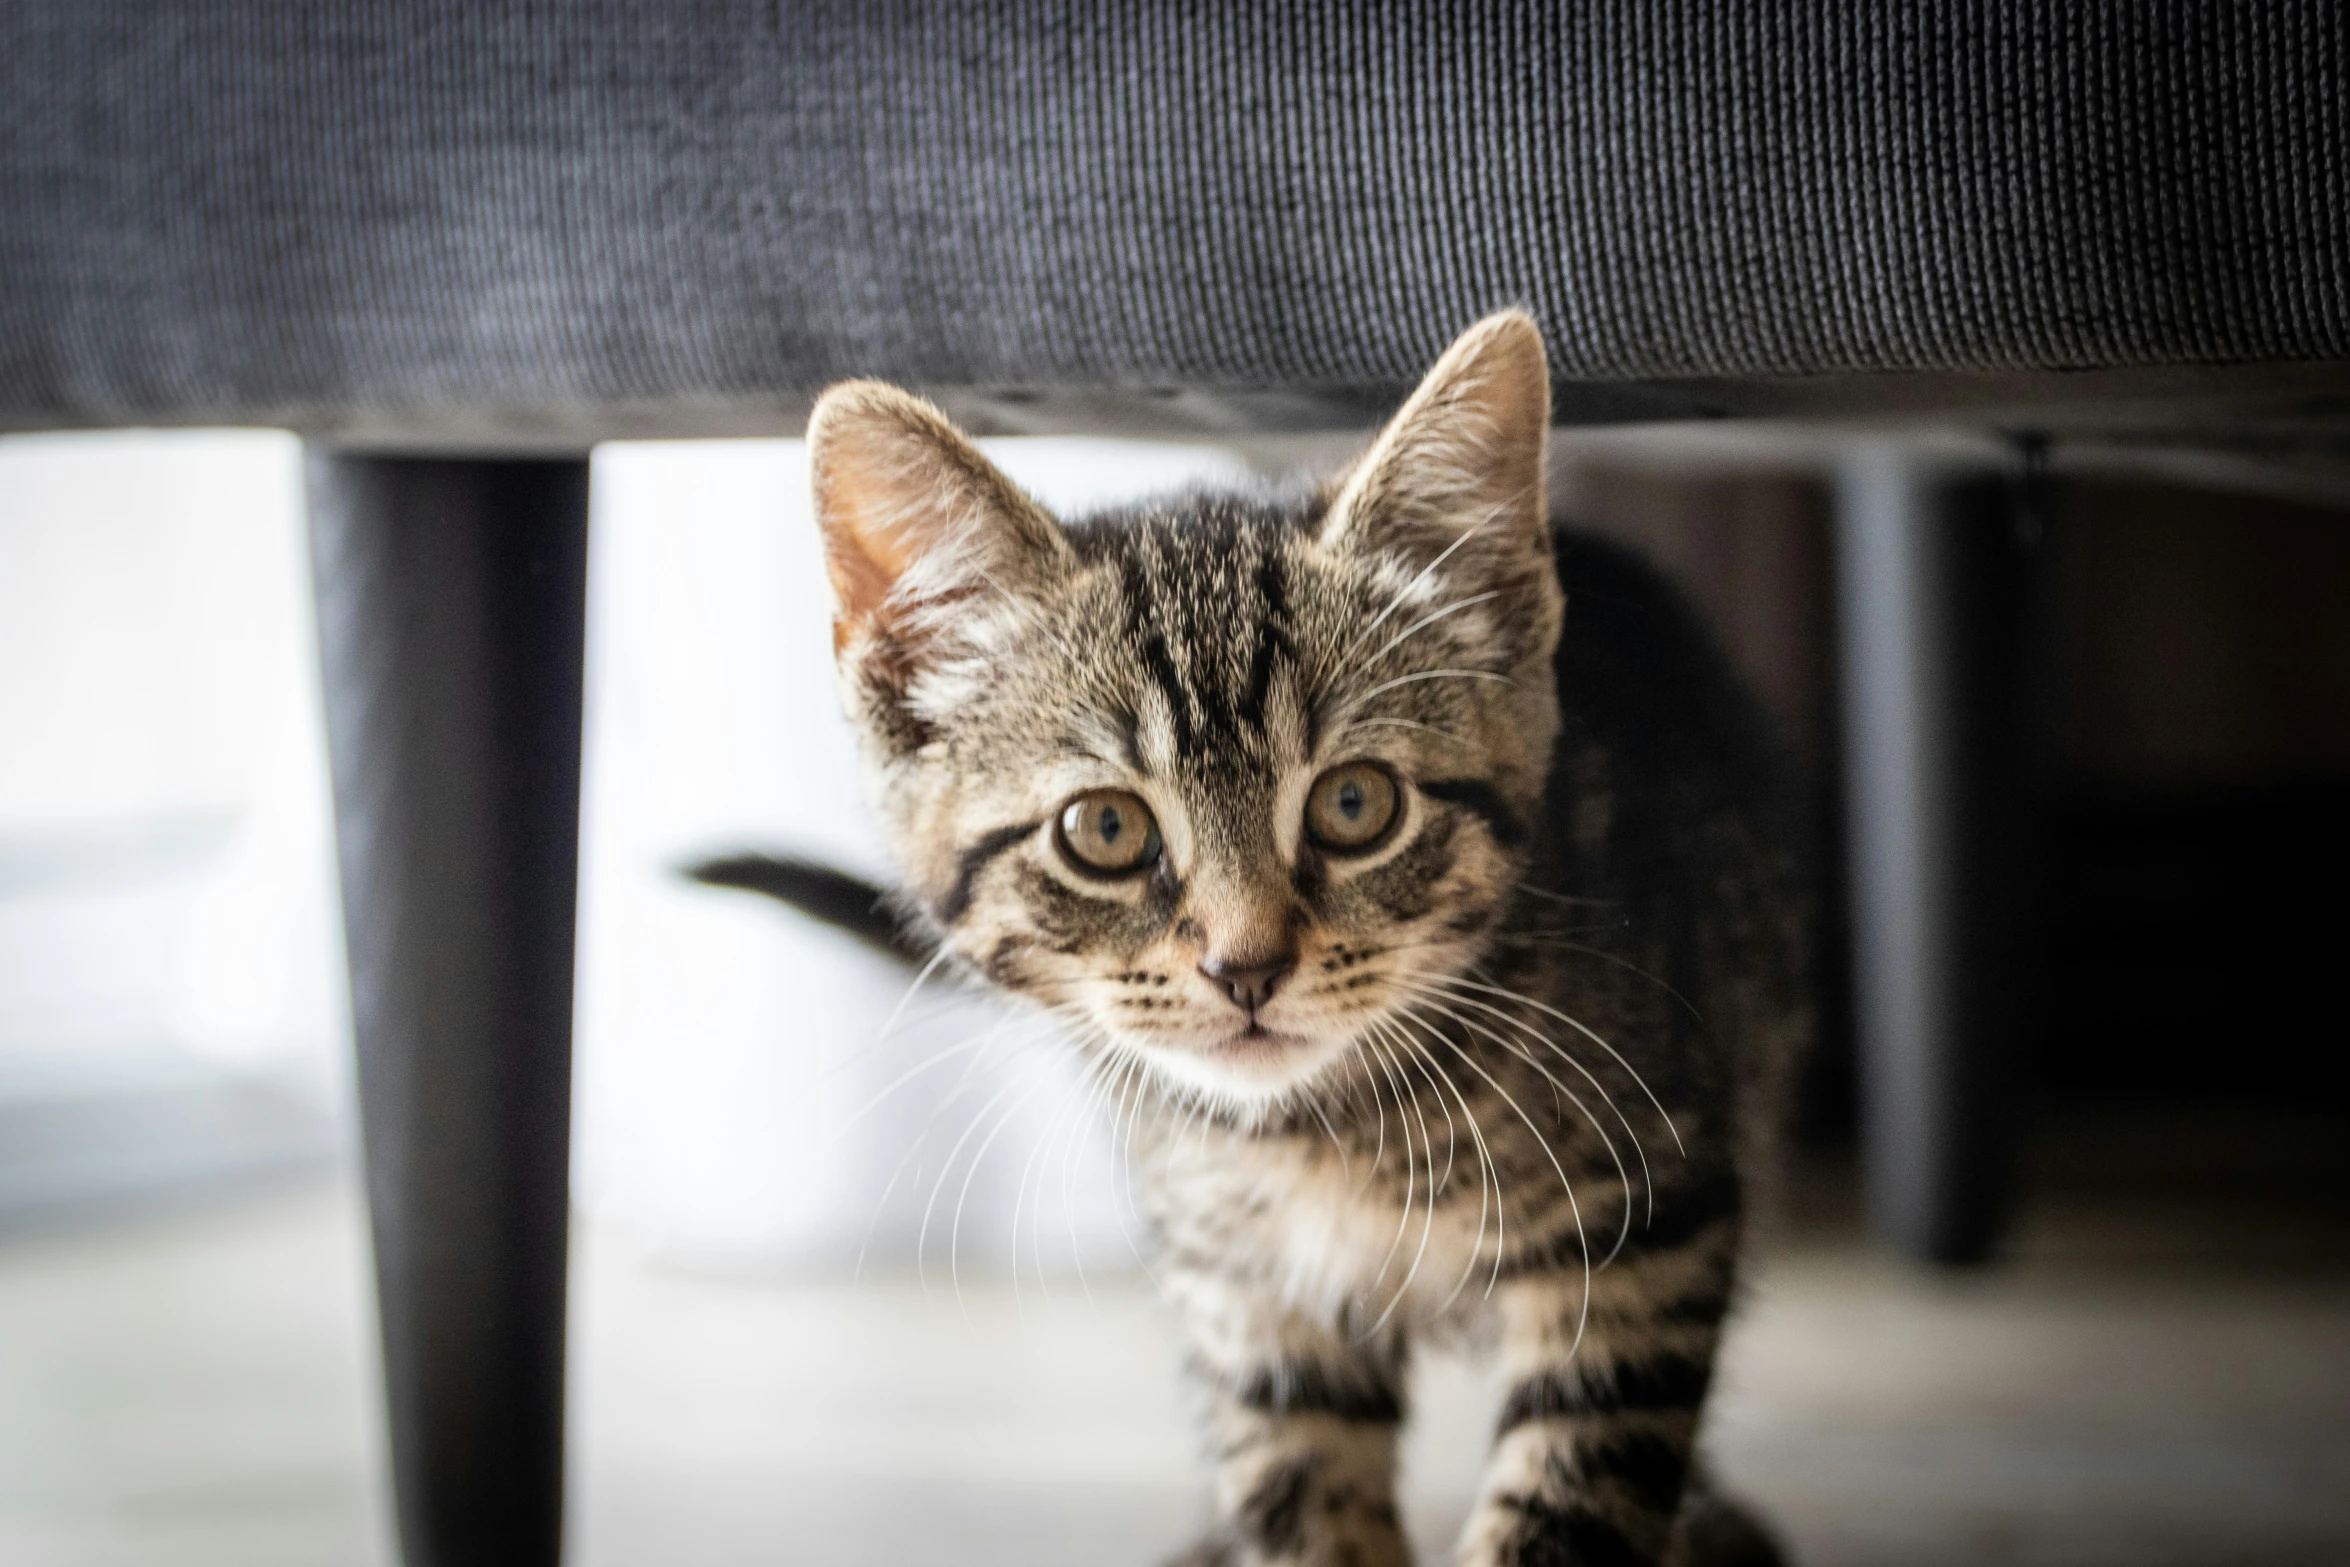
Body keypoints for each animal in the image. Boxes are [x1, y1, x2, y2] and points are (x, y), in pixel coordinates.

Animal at [733, 312, 1795, 1559]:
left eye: (1354, 804)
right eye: (1104, 828)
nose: (1246, 967)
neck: (1326, 1134)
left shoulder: (1650, 1227)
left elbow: (1569, 1495)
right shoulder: (1241, 1294)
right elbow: (1299, 1493)